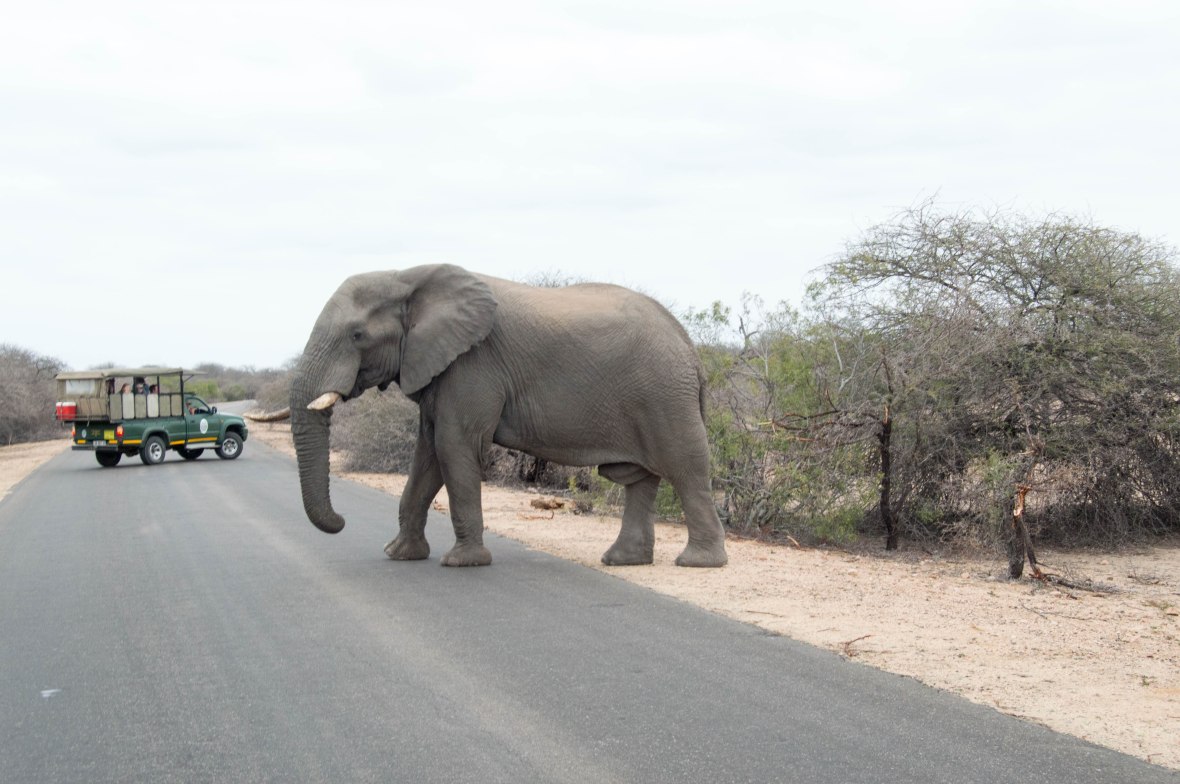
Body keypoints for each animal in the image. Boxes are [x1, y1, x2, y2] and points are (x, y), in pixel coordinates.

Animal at [290, 264, 728, 568]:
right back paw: (623, 560)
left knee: (686, 468)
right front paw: (399, 554)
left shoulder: (473, 364)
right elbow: (428, 454)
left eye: (357, 335)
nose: (341, 520)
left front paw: (462, 563)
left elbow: (454, 446)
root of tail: (692, 350)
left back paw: (699, 563)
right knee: (640, 478)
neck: (407, 276)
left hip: (665, 395)